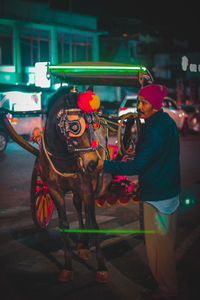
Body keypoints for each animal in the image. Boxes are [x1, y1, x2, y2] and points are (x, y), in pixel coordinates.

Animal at [37, 86, 111, 282]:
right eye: (75, 127)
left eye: (94, 124)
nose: (94, 163)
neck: (63, 154)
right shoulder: (54, 190)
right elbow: (64, 224)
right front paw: (67, 267)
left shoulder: (86, 187)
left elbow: (94, 224)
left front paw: (102, 269)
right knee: (78, 206)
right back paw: (82, 244)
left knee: (84, 208)